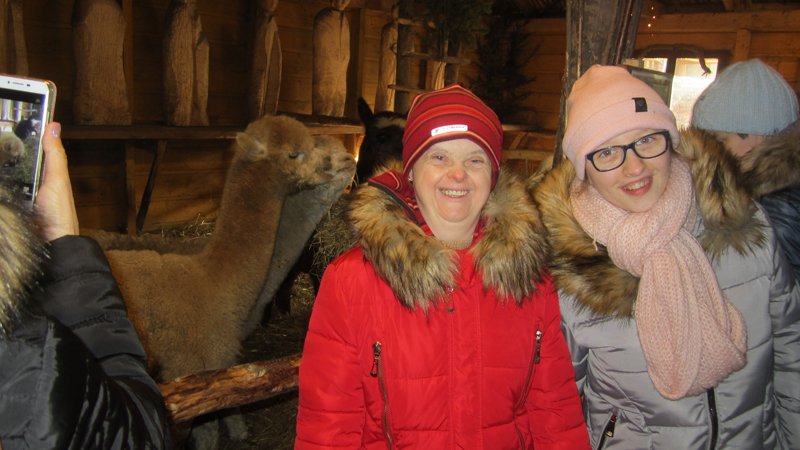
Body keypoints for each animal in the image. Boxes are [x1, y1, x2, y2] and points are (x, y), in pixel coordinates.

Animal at [102, 115, 355, 448]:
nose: (349, 160)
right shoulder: (192, 369)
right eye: (295, 153)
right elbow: (208, 430)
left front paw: (239, 431)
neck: (214, 278)